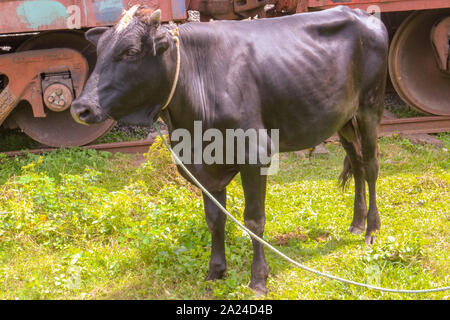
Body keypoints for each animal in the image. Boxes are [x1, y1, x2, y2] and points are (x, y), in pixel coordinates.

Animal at [72, 5, 388, 296]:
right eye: (100, 50)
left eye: (131, 51)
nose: (80, 108)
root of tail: (364, 15)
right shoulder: (203, 167)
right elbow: (214, 219)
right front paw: (215, 272)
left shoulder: (255, 156)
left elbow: (254, 220)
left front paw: (258, 278)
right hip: (343, 118)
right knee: (357, 162)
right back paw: (356, 222)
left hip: (370, 106)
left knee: (371, 165)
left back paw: (372, 229)